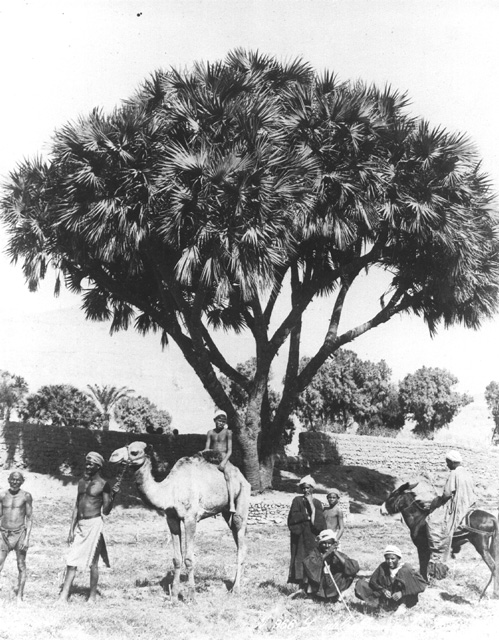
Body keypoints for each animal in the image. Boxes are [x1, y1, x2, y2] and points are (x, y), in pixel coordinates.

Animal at [109, 440, 250, 600]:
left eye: (134, 452)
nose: (113, 456)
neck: (170, 491)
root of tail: (241, 476)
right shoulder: (171, 518)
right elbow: (177, 558)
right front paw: (175, 594)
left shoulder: (190, 518)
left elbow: (188, 559)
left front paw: (192, 596)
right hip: (226, 512)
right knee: (239, 541)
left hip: (242, 499)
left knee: (240, 539)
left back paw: (236, 589)